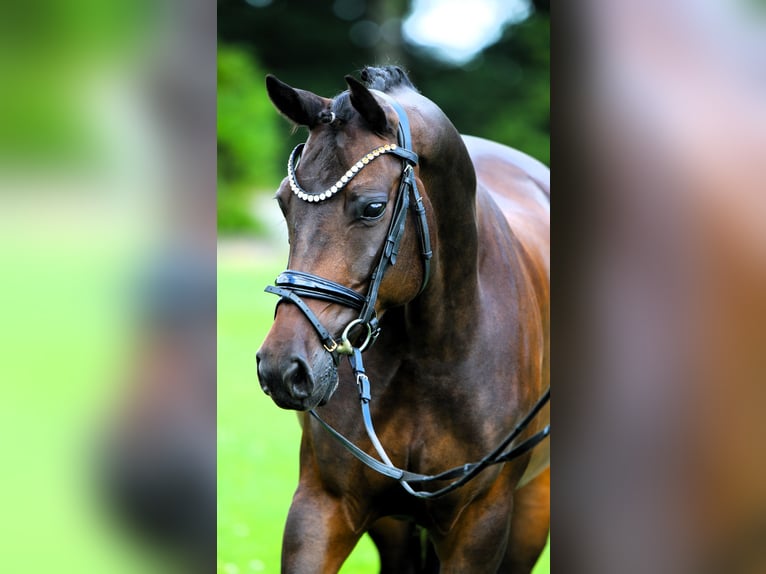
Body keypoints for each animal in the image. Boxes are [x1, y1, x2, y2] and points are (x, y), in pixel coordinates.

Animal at [258, 66, 552, 572]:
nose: (282, 367)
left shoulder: (480, 523)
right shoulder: (323, 504)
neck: (432, 351)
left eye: (373, 207)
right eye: (282, 203)